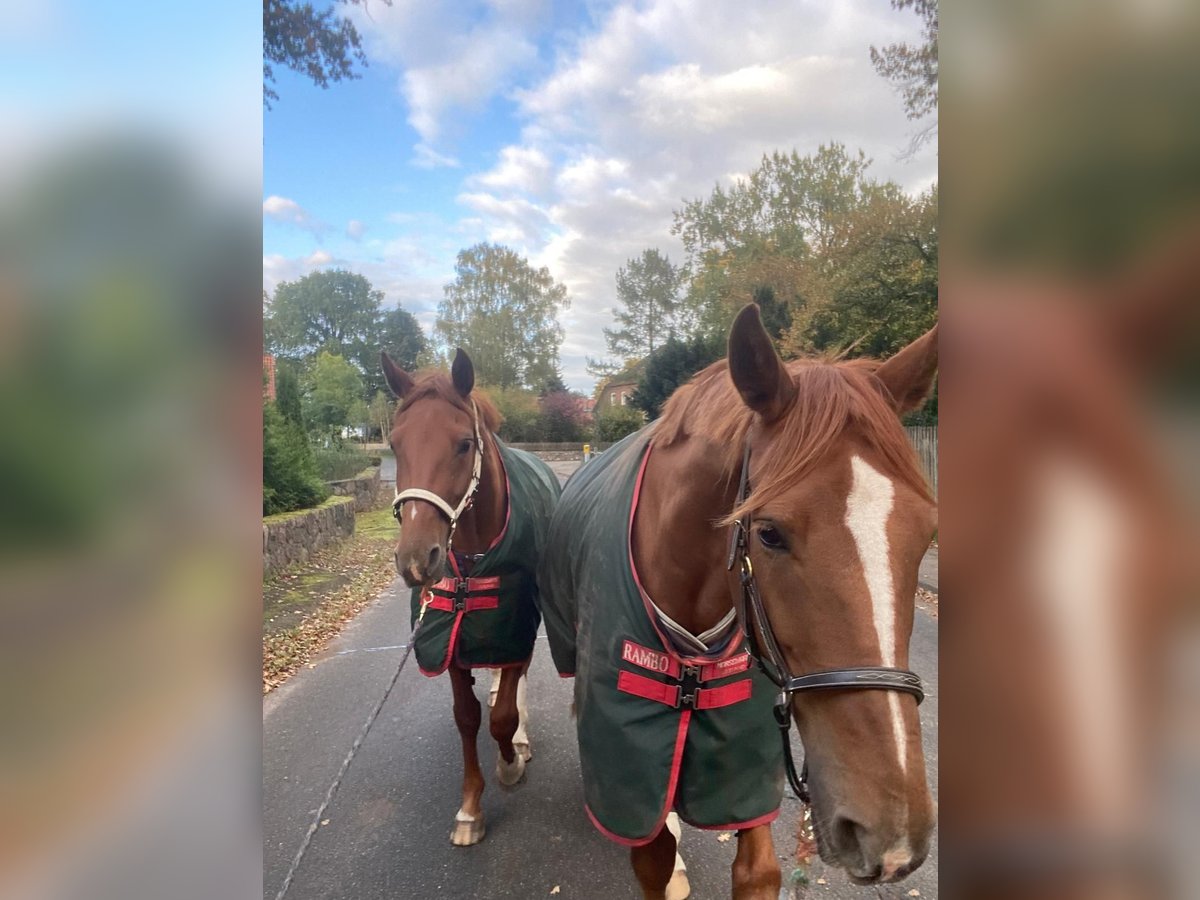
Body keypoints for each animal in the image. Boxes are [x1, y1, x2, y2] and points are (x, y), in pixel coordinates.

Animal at [379, 348, 561, 849]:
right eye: (395, 445)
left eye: (463, 444)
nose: (416, 558)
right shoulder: (449, 641)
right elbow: (467, 717)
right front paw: (470, 807)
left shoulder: (515, 625)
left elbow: (501, 717)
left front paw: (510, 763)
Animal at [540, 307, 940, 897]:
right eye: (769, 533)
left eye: (926, 533)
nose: (889, 834)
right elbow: (653, 853)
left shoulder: (741, 773)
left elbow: (759, 869)